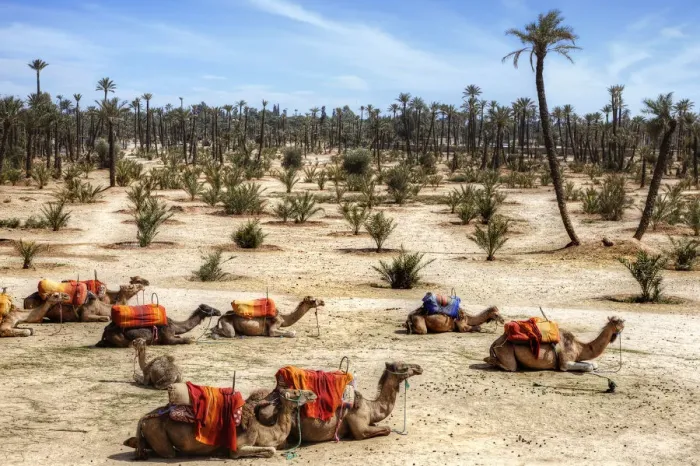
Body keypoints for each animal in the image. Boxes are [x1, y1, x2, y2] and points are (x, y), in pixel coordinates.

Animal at [123, 388, 317, 459]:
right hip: (158, 433)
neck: (264, 430)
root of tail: (145, 417)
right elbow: (271, 450)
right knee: (169, 453)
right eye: (295, 391)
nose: (313, 393)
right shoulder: (239, 445)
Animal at [484, 316, 625, 372]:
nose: (623, 324)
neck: (578, 347)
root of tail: (495, 342)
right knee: (510, 366)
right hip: (506, 352)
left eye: (620, 321)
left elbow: (593, 364)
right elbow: (589, 367)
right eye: (616, 322)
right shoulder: (565, 363)